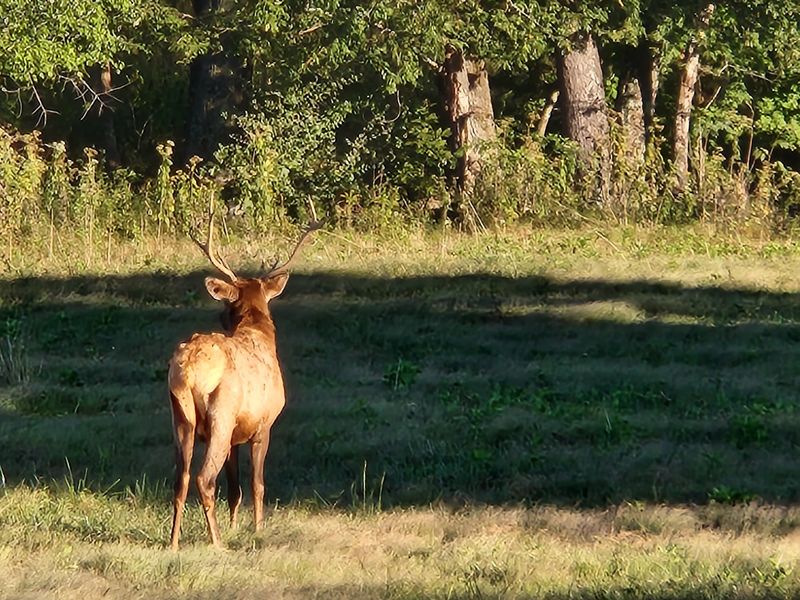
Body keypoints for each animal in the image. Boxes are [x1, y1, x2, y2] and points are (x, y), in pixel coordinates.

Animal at [168, 207, 322, 550]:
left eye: (227, 301)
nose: (220, 316)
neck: (258, 334)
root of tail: (189, 370)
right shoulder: (263, 424)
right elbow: (257, 484)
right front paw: (257, 529)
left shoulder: (236, 438)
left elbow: (235, 488)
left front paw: (236, 525)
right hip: (221, 415)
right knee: (204, 478)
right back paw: (216, 543)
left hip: (181, 417)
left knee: (180, 479)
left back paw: (173, 542)